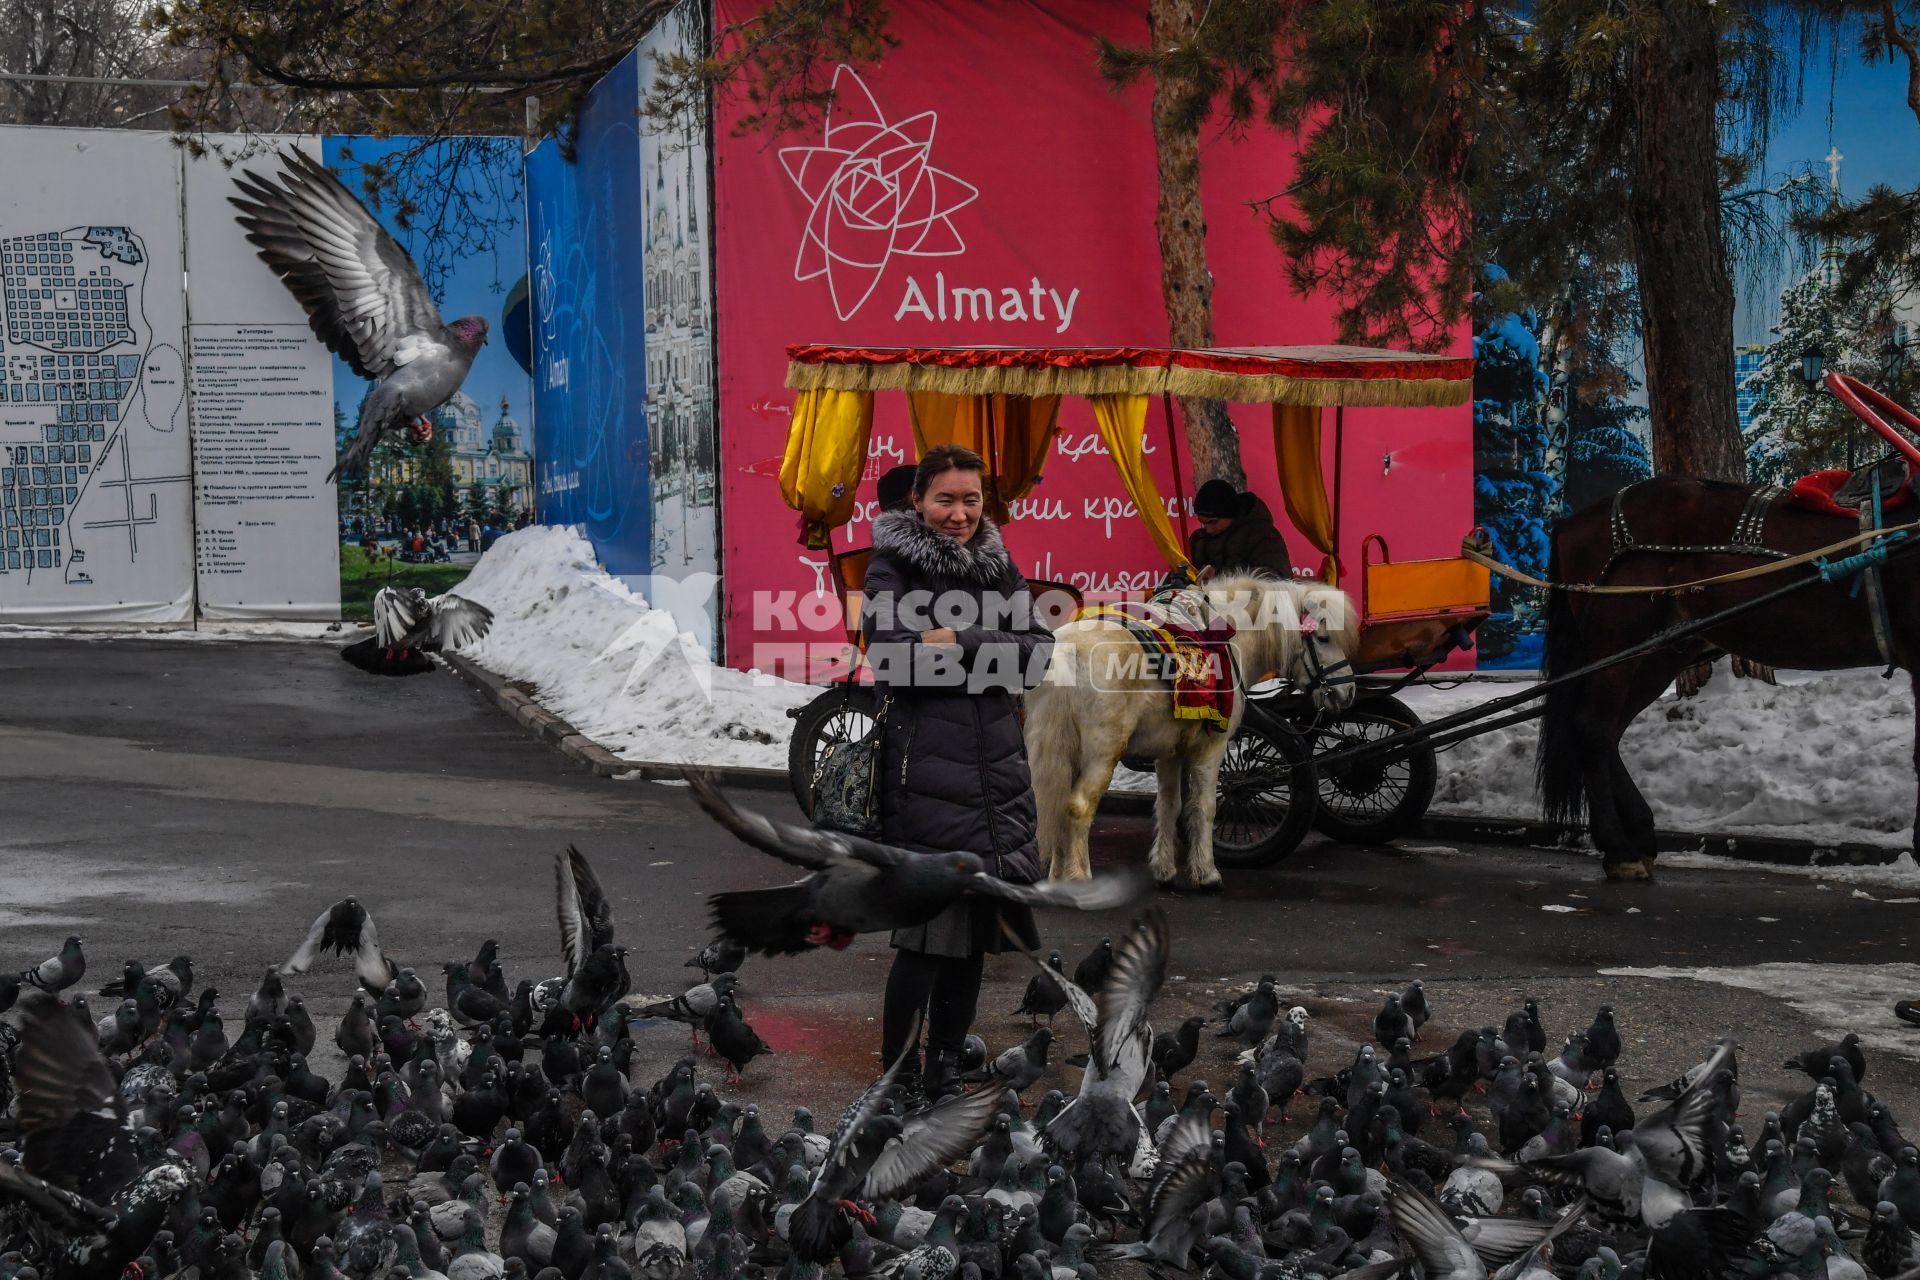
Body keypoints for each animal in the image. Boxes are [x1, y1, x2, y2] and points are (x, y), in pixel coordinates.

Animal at [1029, 579, 1359, 890]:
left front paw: (1164, 871)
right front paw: (1207, 874)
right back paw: (1080, 879)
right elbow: (1204, 807)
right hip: (1102, 756)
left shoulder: (1169, 752)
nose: (1348, 691)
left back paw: (1057, 880)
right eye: (1323, 637)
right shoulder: (1212, 746)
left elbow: (1169, 806)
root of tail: (1067, 653)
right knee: (1079, 808)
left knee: (1055, 807)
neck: (1229, 638)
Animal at [1536, 475, 1920, 875]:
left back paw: (1640, 832)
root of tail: (1572, 521)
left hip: (1659, 652)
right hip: (1616, 641)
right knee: (1593, 727)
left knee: (1610, 728)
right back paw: (1618, 848)